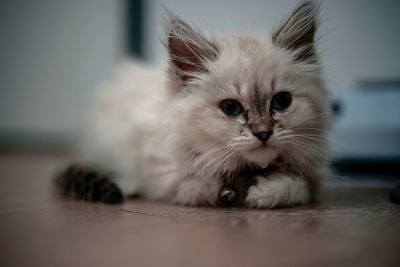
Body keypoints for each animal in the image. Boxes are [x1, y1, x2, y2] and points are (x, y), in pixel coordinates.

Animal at [57, 1, 332, 209]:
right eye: (230, 108)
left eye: (281, 101)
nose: (264, 133)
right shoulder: (168, 176)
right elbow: (200, 183)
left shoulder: (312, 175)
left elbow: (296, 186)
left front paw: (264, 192)